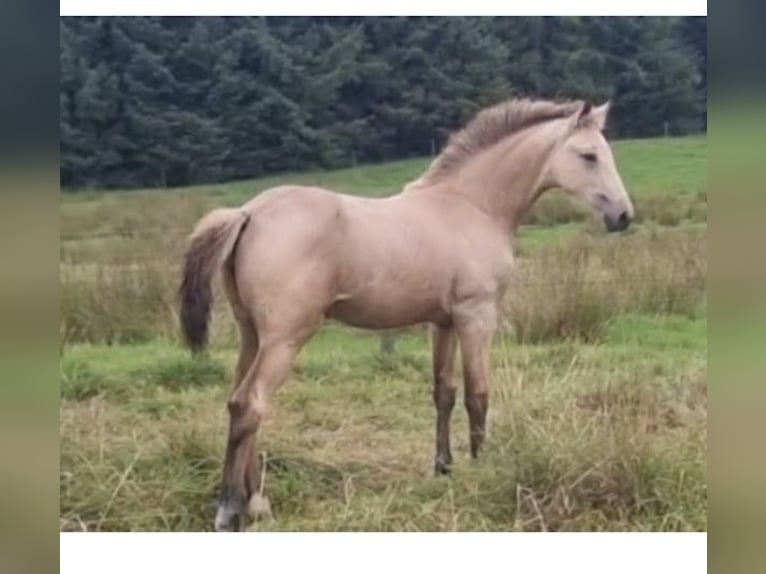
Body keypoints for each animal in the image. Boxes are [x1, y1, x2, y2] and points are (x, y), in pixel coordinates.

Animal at [178, 98, 634, 531]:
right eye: (589, 155)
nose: (624, 216)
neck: (472, 206)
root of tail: (248, 212)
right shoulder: (476, 316)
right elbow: (478, 394)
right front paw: (483, 468)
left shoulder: (443, 322)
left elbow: (444, 392)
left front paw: (444, 467)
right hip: (284, 339)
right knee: (250, 405)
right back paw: (231, 512)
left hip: (252, 335)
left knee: (238, 403)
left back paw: (258, 505)